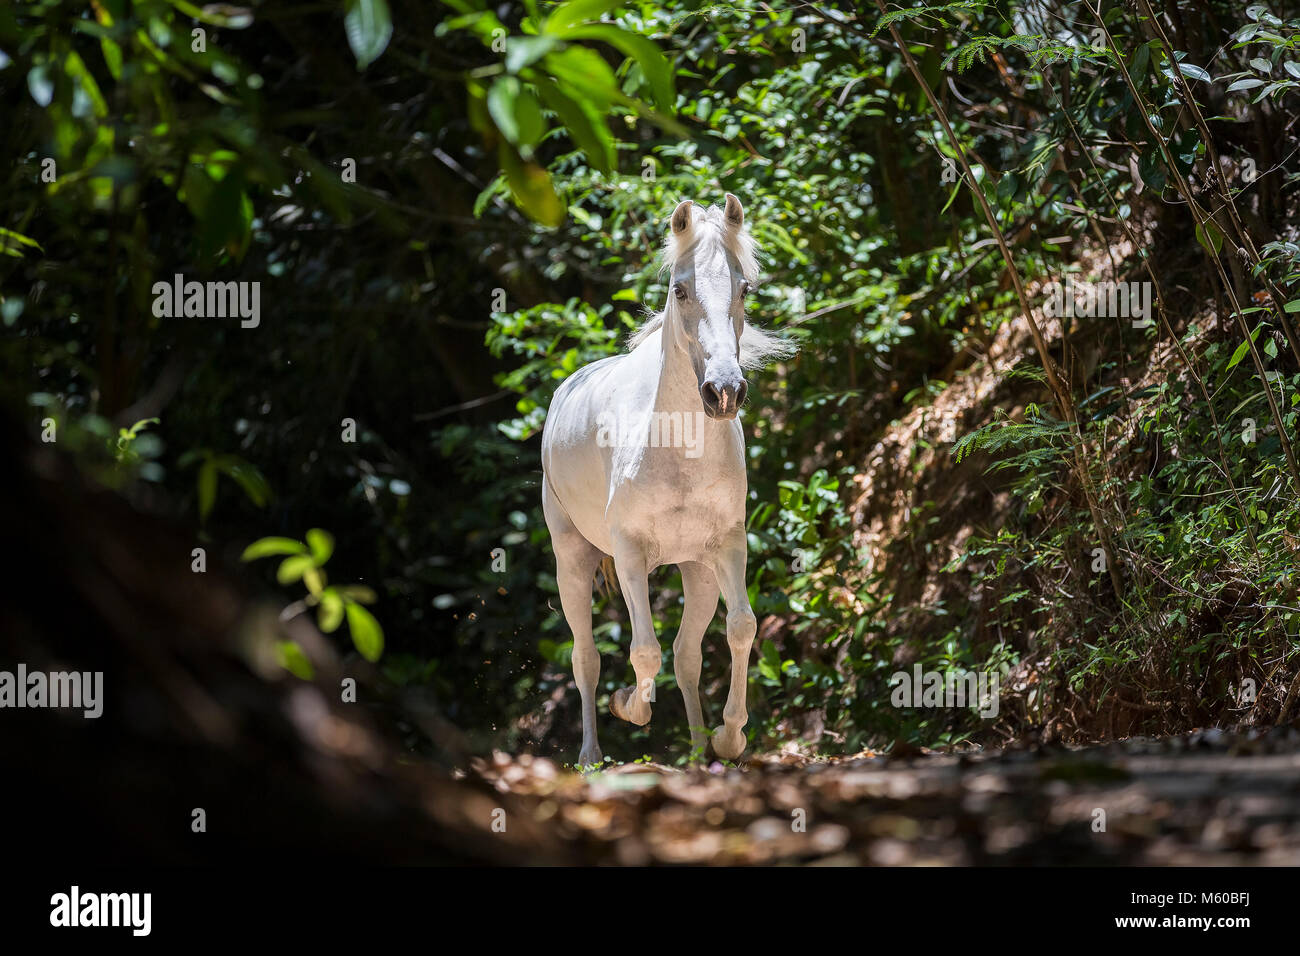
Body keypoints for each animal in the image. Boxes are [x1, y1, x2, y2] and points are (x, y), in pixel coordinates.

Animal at [538, 192, 790, 764]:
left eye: (745, 288)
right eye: (680, 288)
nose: (724, 392)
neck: (680, 449)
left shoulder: (727, 547)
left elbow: (740, 628)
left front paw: (729, 736)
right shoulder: (630, 555)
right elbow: (642, 653)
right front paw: (629, 706)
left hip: (695, 571)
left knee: (686, 655)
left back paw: (698, 750)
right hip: (572, 558)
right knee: (586, 656)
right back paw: (591, 755)